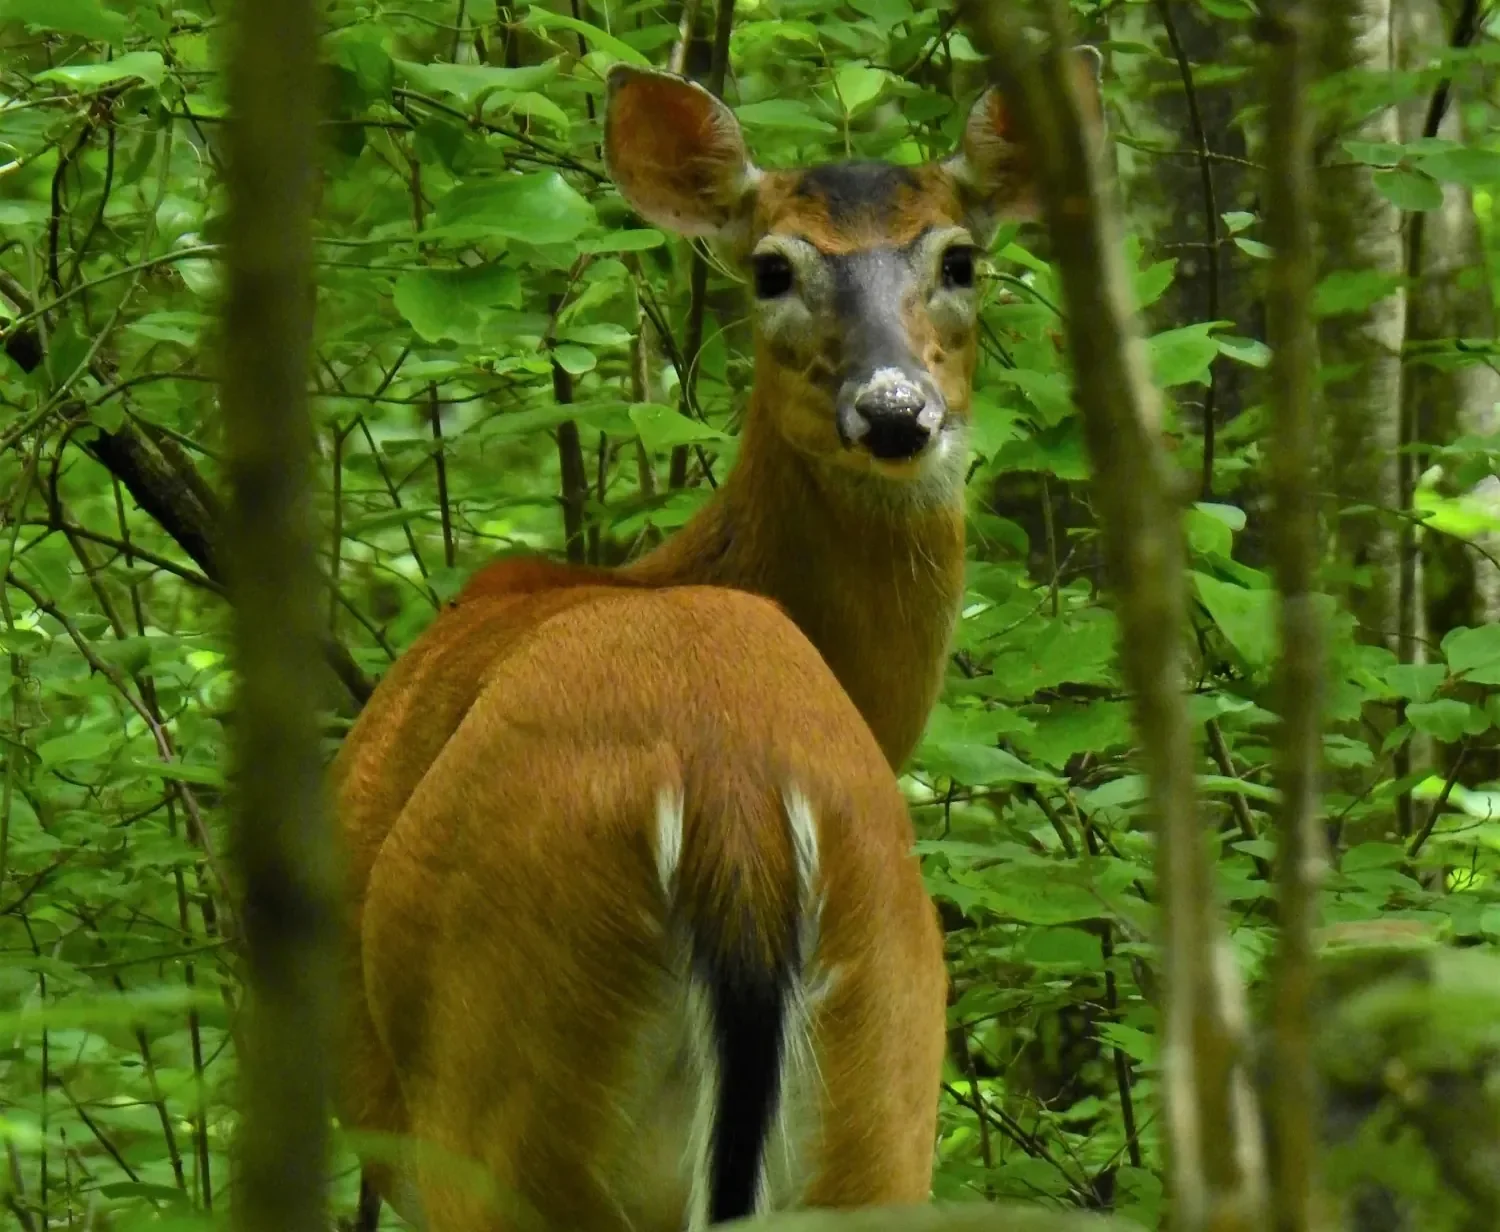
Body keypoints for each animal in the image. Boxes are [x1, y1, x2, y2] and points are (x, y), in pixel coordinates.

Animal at [336, 54, 1101, 1232]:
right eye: (773, 267)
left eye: (960, 258)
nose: (895, 410)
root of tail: (737, 814)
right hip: (889, 1083)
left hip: (496, 1091)